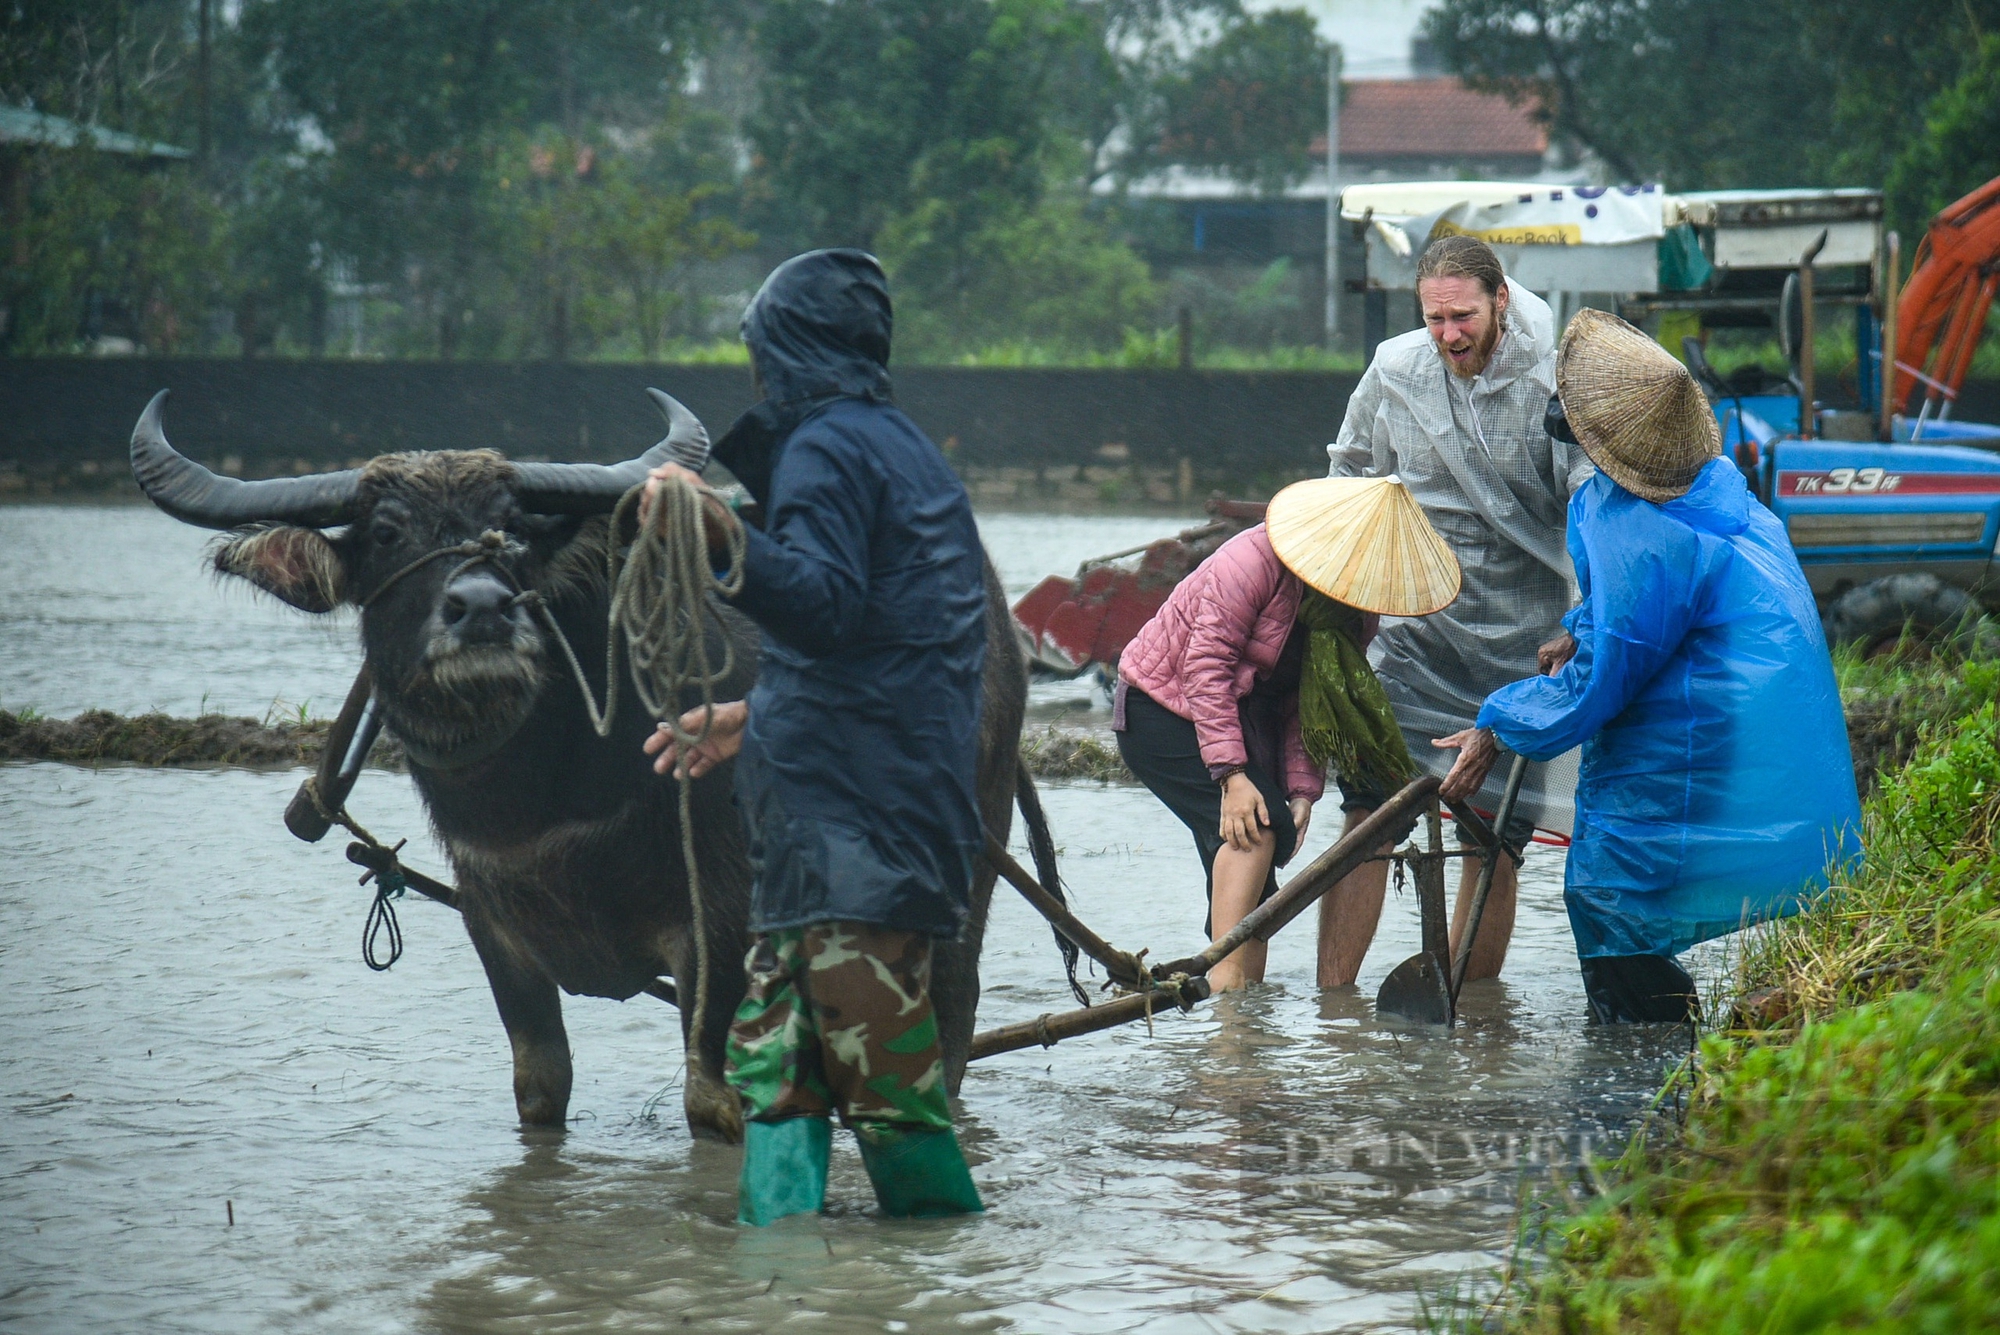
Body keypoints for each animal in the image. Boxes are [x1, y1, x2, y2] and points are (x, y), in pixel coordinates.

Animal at [127, 383, 1072, 1135]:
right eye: (388, 531)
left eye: (510, 529)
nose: (482, 607)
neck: (545, 796)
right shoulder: (495, 929)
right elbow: (540, 1087)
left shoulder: (719, 921)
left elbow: (710, 1098)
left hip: (963, 851)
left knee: (947, 1006)